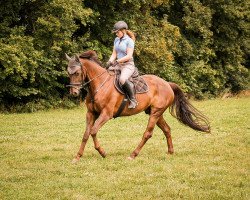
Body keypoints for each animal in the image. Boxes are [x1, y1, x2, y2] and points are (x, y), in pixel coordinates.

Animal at [65, 50, 210, 163]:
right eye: (68, 73)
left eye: (77, 73)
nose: (74, 93)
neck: (99, 85)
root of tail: (167, 84)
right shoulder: (91, 113)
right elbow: (86, 134)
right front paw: (77, 157)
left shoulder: (106, 114)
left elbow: (93, 131)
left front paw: (102, 152)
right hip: (156, 113)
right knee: (167, 129)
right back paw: (170, 152)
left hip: (155, 113)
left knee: (147, 133)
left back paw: (133, 155)